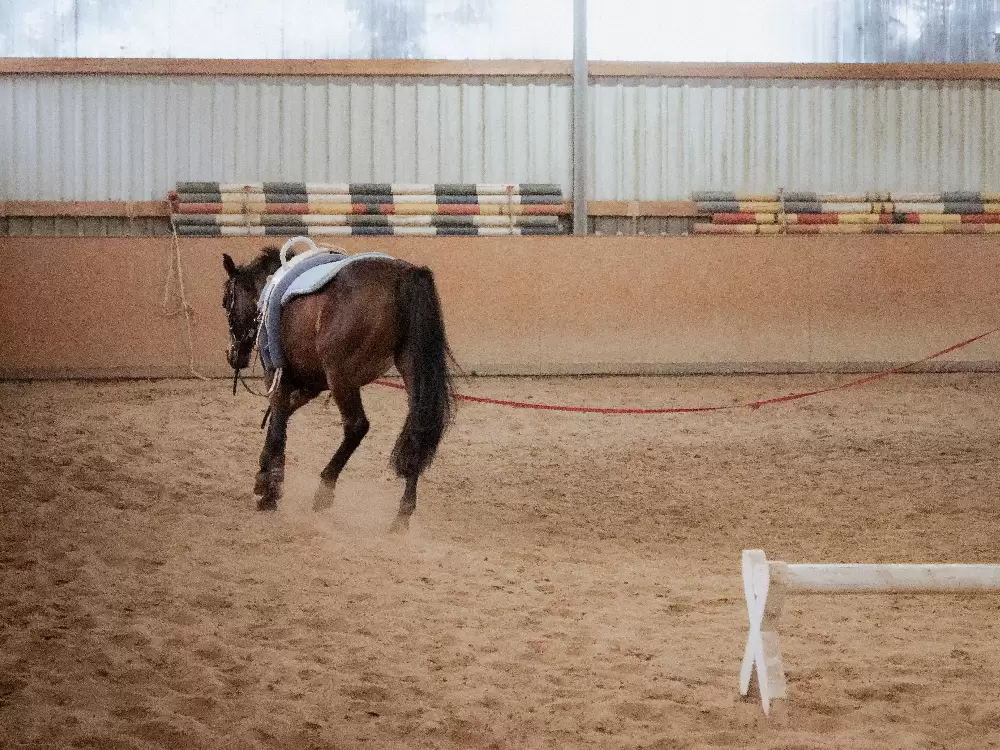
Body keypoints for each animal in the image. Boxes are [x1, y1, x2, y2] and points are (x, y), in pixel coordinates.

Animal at [221, 244, 455, 533]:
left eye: (226, 302)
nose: (232, 355)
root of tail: (405, 275)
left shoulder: (277, 377)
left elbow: (277, 426)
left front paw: (270, 489)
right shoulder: (311, 385)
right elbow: (282, 416)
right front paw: (265, 473)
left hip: (341, 377)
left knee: (356, 426)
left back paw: (325, 489)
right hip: (412, 370)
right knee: (418, 429)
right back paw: (402, 513)